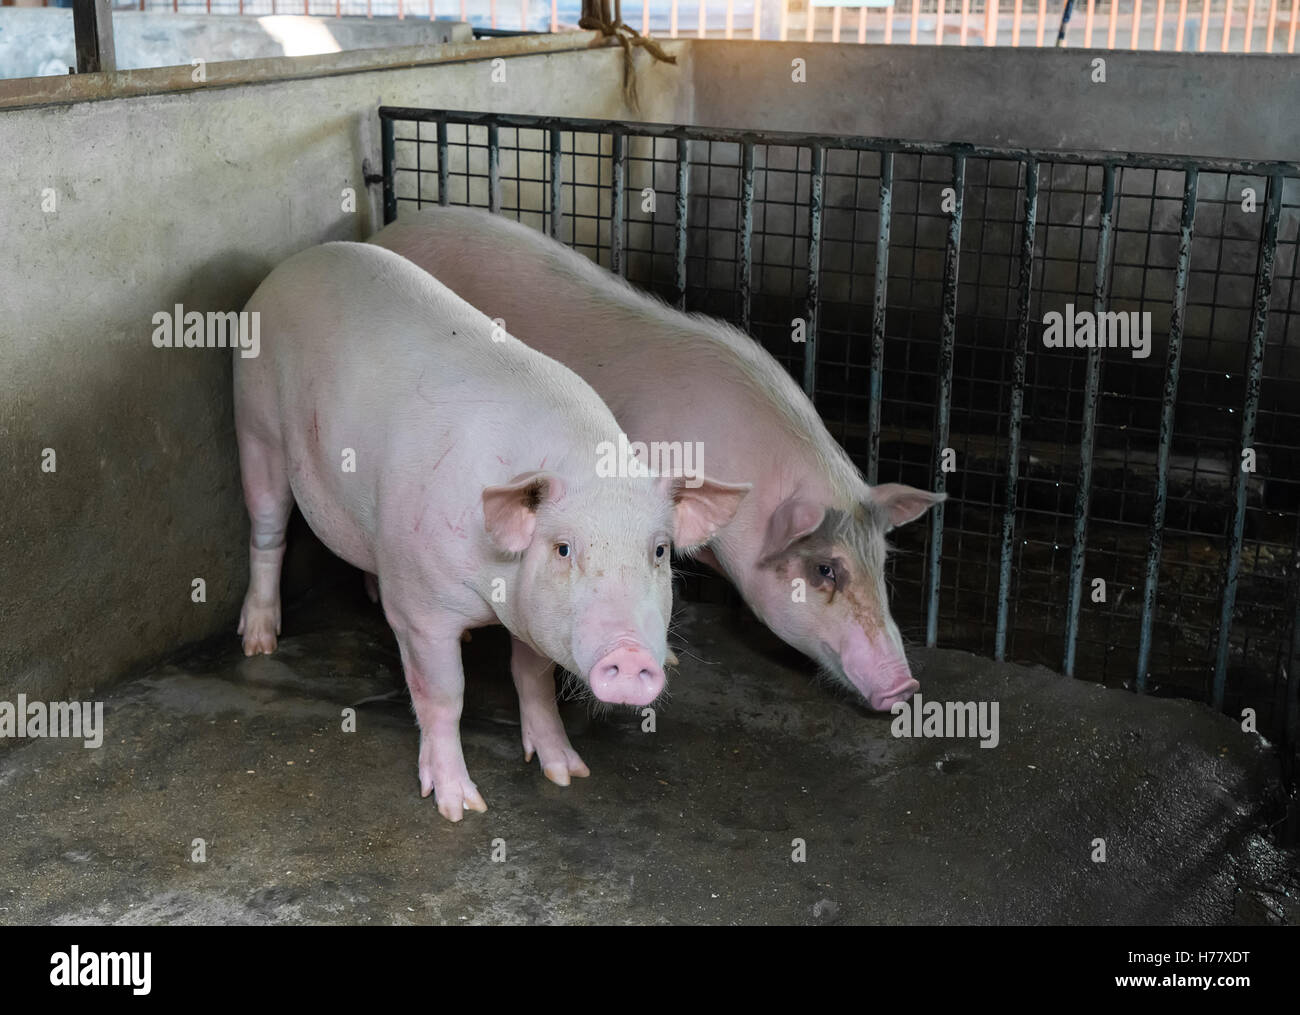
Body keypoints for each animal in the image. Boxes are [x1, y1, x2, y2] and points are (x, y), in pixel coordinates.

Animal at [234, 242, 747, 820]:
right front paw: (460, 807)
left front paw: (566, 774)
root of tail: (296, 262)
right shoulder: (420, 608)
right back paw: (259, 644)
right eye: (563, 548)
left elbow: (534, 680)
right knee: (267, 530)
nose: (631, 654)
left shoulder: (530, 613)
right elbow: (444, 694)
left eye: (658, 552)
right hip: (255, 423)